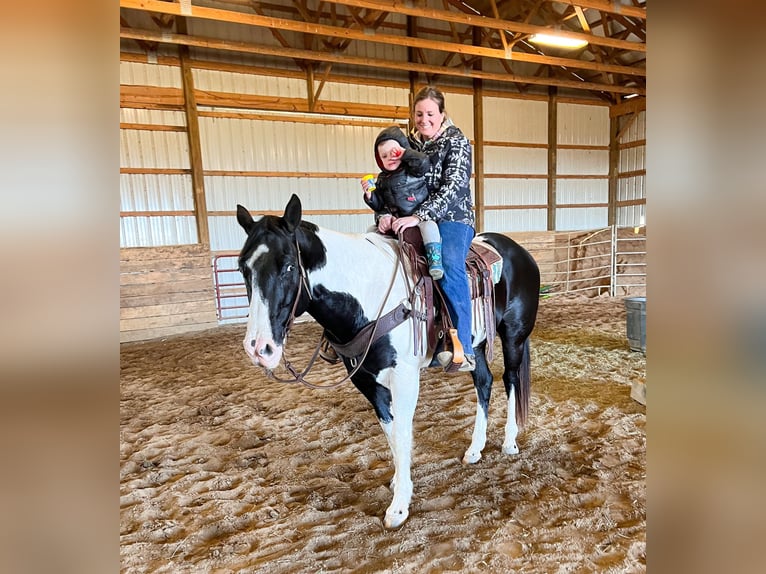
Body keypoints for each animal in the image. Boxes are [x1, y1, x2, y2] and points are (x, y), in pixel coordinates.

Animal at [237, 196, 544, 528]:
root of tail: (519, 251)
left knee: (510, 380)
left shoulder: (405, 378)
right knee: (484, 382)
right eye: (242, 268)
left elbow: (402, 433)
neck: (366, 294)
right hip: (475, 345)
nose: (259, 348)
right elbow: (390, 431)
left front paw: (399, 506)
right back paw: (475, 448)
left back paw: (510, 442)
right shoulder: (366, 379)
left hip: (513, 336)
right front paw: (399, 482)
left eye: (289, 266)